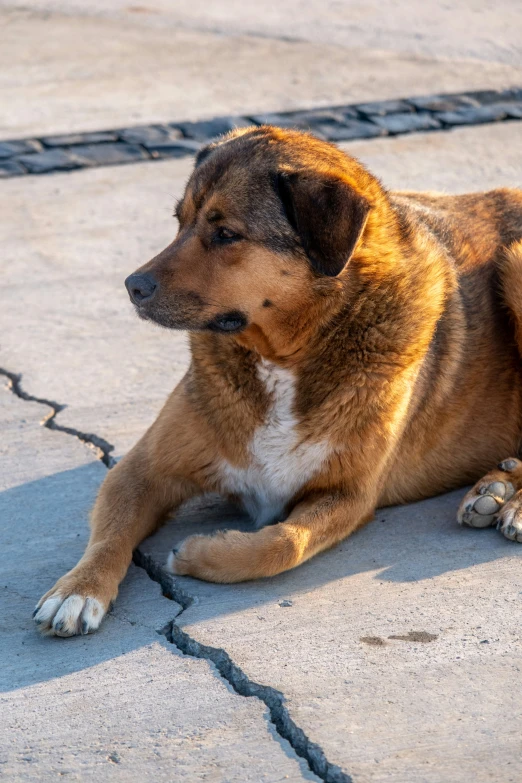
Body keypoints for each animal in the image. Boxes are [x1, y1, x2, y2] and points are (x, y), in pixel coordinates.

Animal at [33, 124, 520, 636]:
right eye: (179, 221)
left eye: (226, 234)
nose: (132, 286)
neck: (284, 356)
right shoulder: (141, 469)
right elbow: (111, 531)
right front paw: (79, 588)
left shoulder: (348, 494)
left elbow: (284, 543)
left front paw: (201, 554)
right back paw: (496, 489)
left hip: (516, 261)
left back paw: (510, 501)